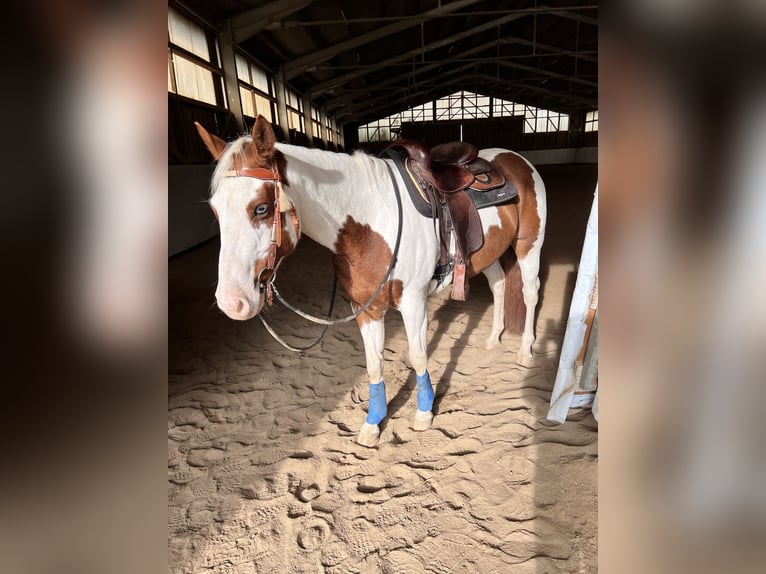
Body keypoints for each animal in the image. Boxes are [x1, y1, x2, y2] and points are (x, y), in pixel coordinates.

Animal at [195, 115, 546, 447]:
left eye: (261, 208)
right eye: (214, 211)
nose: (232, 302)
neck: (372, 221)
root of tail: (515, 158)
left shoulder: (413, 302)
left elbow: (418, 356)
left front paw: (424, 413)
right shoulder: (365, 308)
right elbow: (374, 364)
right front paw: (373, 424)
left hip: (529, 245)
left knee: (530, 293)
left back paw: (525, 351)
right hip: (488, 253)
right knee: (499, 284)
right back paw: (493, 338)